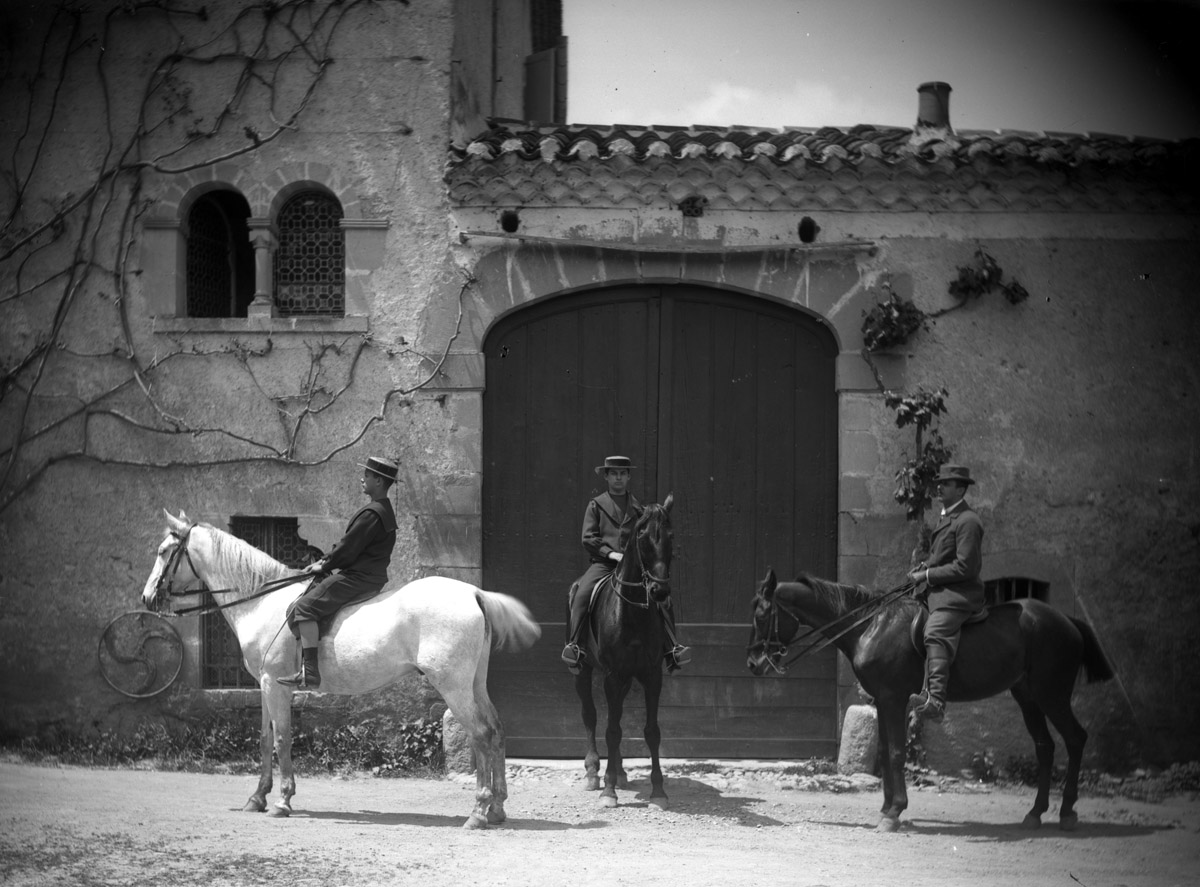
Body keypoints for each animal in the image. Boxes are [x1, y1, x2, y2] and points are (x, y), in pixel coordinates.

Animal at [140, 508, 540, 830]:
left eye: (164, 552)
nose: (147, 598)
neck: (262, 602)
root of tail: (472, 593)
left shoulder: (275, 685)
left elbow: (282, 739)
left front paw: (282, 801)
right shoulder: (264, 686)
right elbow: (265, 739)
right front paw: (257, 798)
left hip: (453, 686)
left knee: (480, 734)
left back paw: (478, 812)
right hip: (474, 683)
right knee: (496, 730)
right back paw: (497, 808)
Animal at [571, 496, 676, 806]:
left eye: (670, 535)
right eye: (641, 536)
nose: (659, 592)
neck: (633, 612)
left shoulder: (651, 675)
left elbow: (651, 732)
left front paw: (658, 790)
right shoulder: (612, 675)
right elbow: (612, 729)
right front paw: (608, 790)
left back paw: (618, 771)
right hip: (583, 670)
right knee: (591, 715)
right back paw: (594, 772)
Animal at [744, 568, 1108, 830]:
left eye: (762, 615)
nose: (752, 664)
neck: (870, 625)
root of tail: (1067, 621)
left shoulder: (893, 698)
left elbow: (894, 753)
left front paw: (894, 812)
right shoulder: (882, 700)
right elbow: (884, 751)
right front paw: (887, 807)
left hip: (1052, 695)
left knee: (1076, 739)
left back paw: (1067, 812)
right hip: (1028, 696)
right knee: (1045, 747)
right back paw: (1036, 813)